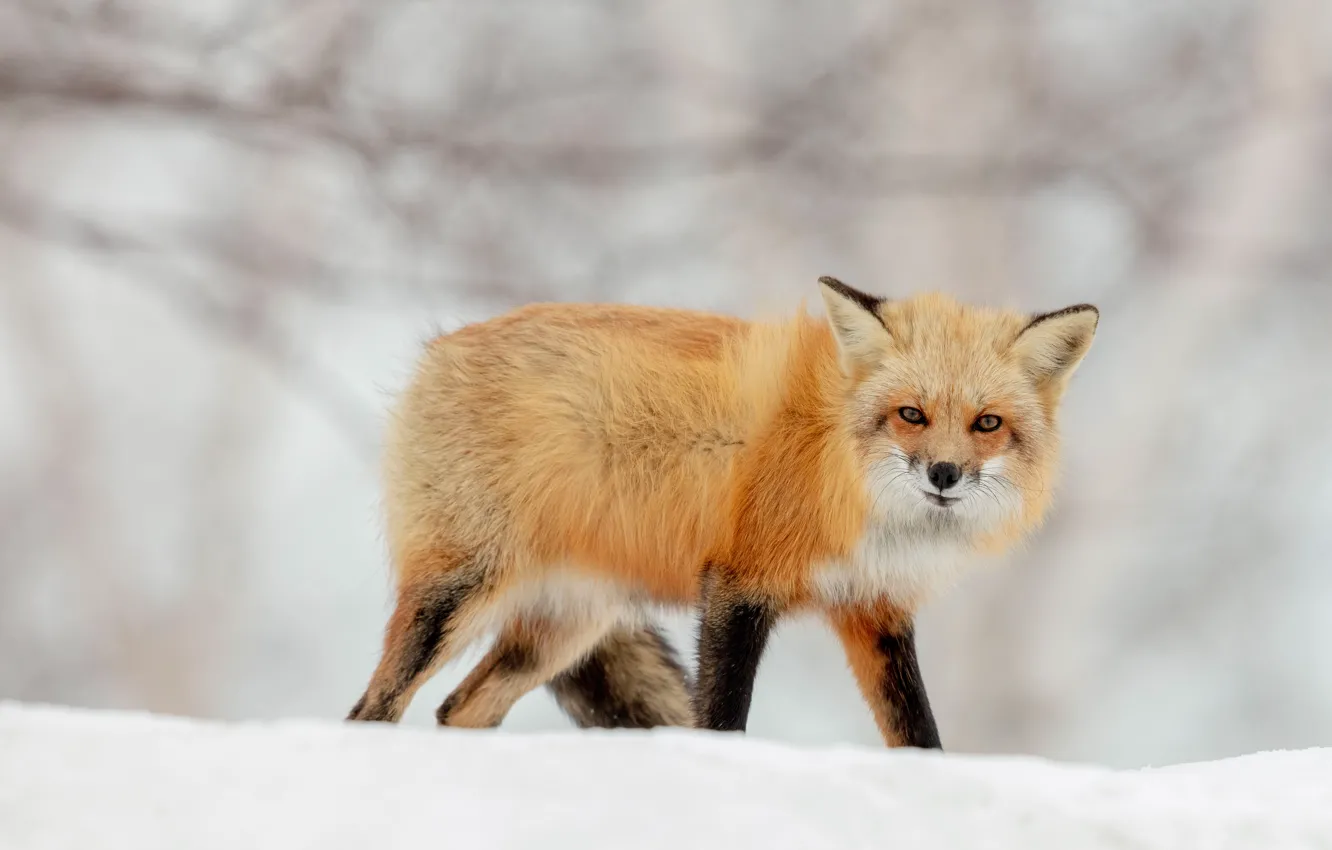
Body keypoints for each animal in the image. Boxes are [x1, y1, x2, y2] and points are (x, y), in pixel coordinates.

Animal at [347, 277, 1098, 747]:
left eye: (987, 423)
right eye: (911, 415)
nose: (944, 474)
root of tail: (438, 349)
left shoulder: (873, 608)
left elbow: (918, 734)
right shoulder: (738, 586)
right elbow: (722, 716)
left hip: (563, 631)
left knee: (457, 710)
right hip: (458, 593)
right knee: (372, 709)